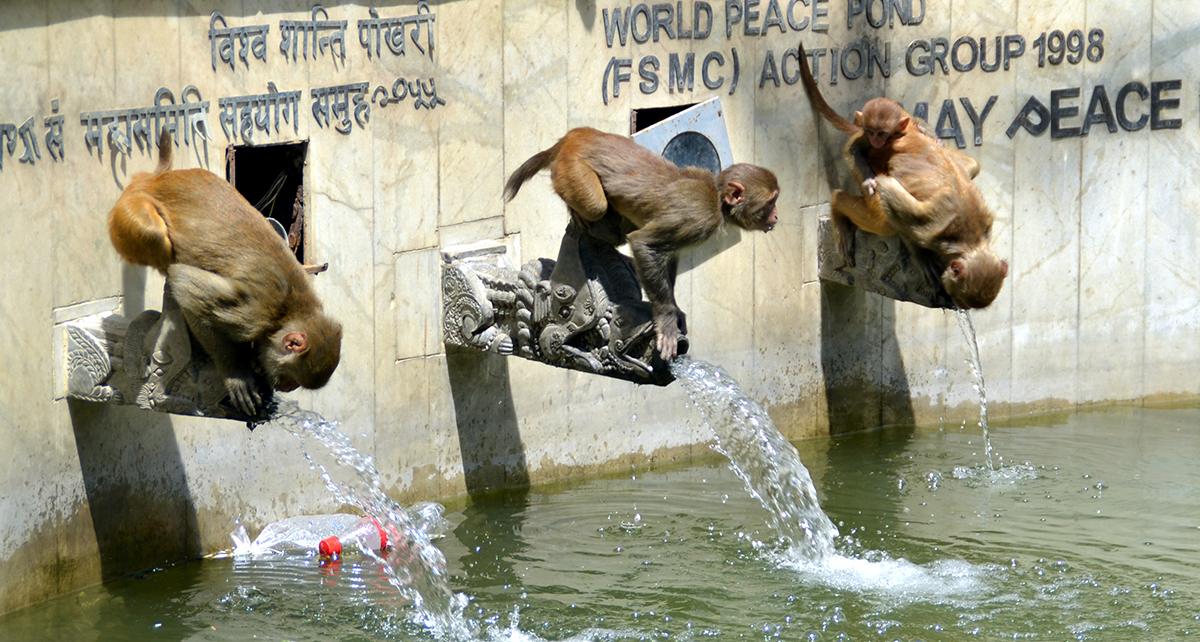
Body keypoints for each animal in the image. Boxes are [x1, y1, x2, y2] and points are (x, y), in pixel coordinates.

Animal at [501, 127, 782, 360]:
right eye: (770, 203)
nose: (776, 216)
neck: (716, 197)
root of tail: (577, 134)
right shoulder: (698, 219)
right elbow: (644, 244)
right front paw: (667, 321)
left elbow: (667, 254)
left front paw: (675, 311)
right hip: (572, 168)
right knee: (596, 207)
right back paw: (578, 213)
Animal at [801, 42, 1008, 309]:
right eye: (963, 299)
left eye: (968, 304)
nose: (960, 306)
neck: (969, 238)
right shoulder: (930, 227)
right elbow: (891, 195)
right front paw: (919, 255)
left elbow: (968, 166)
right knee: (878, 214)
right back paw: (838, 205)